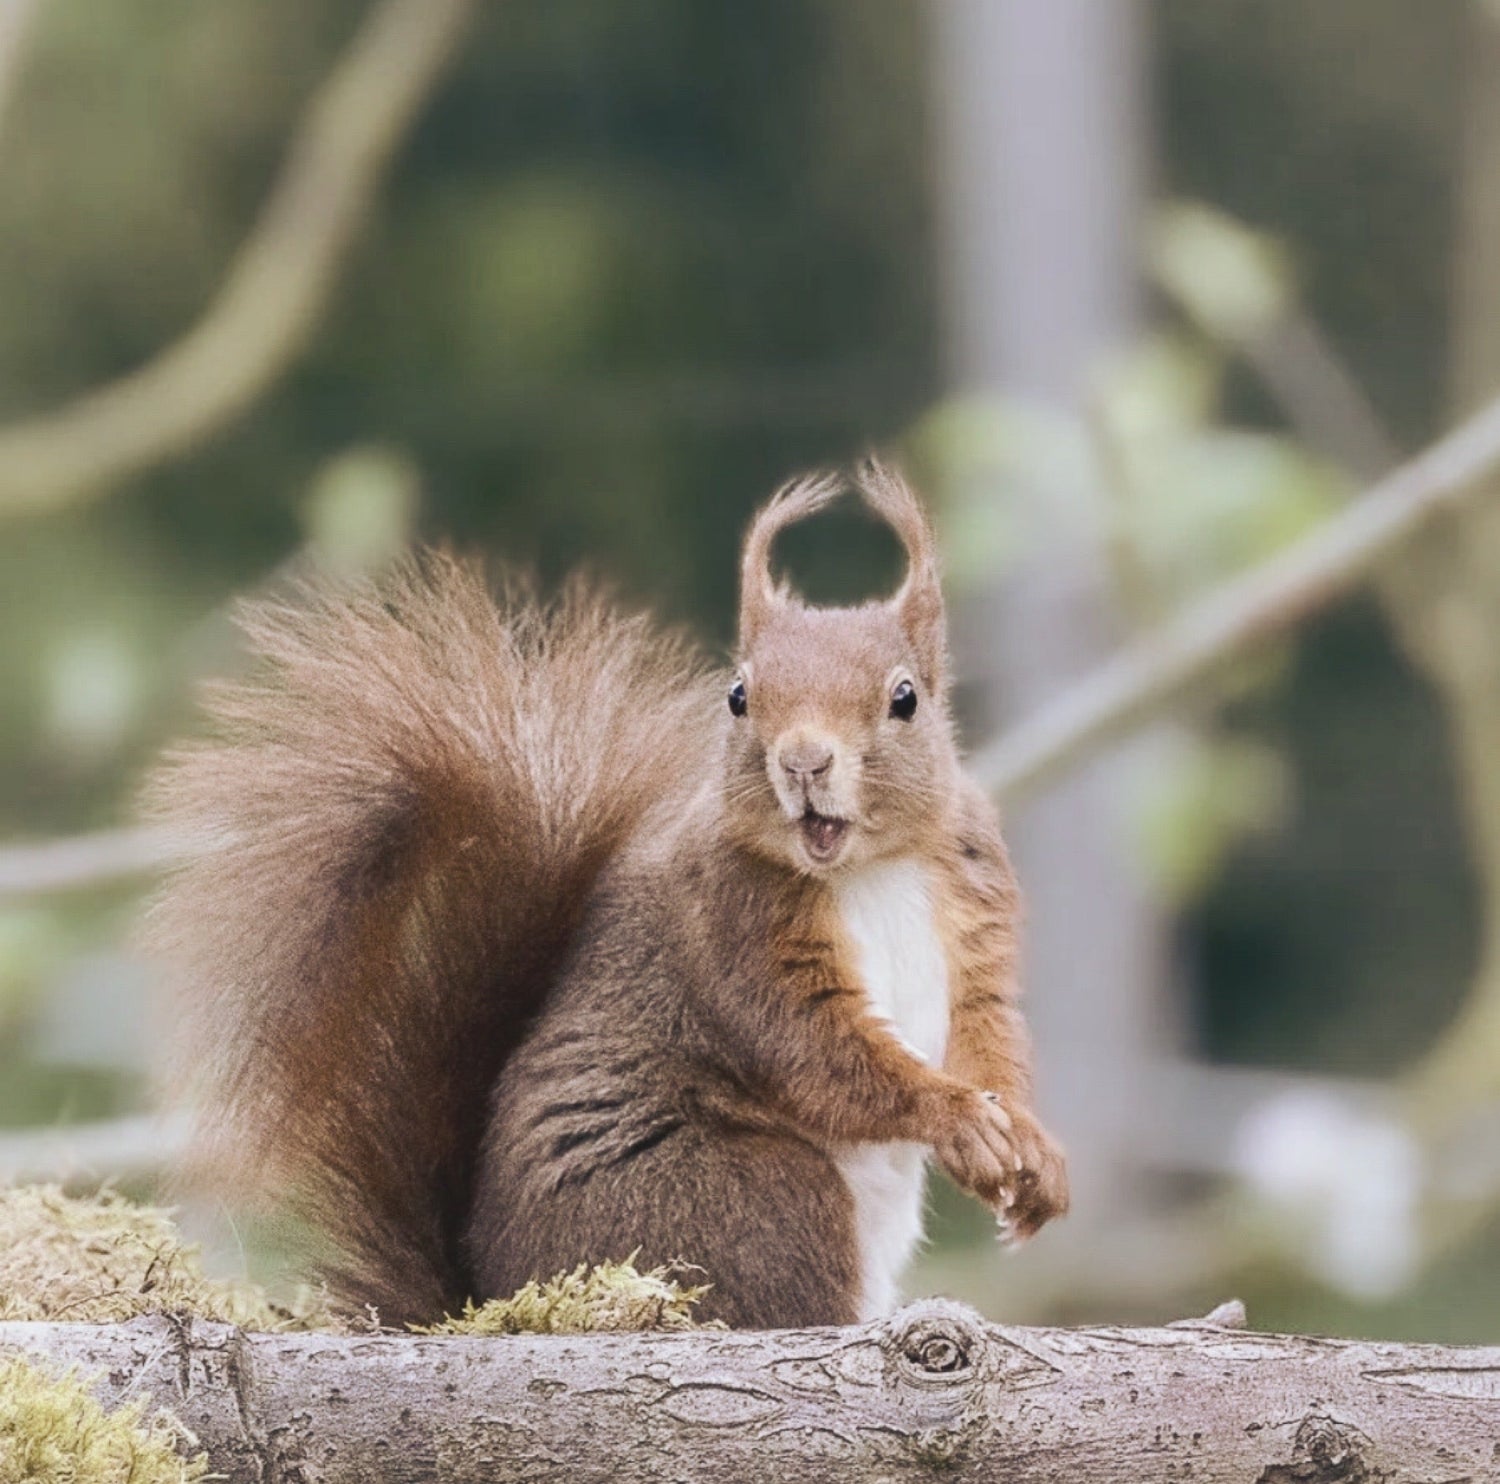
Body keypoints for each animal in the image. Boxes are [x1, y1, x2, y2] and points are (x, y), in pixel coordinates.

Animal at [143, 459, 1068, 1320]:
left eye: (905, 698)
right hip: (753, 1195)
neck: (868, 868)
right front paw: (959, 1119)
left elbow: (989, 1031)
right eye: (738, 695)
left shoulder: (975, 912)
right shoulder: (731, 931)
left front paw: (1031, 1151)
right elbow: (819, 1052)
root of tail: (493, 1290)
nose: (804, 761)